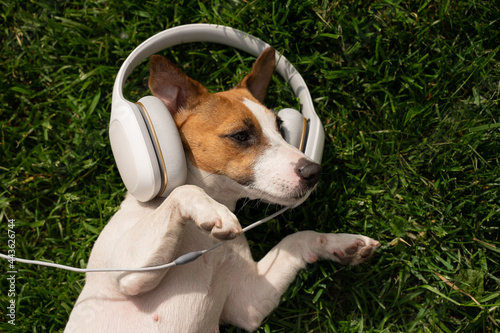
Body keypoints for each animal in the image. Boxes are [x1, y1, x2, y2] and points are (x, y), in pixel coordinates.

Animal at [65, 48, 378, 330]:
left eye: (281, 127)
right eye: (241, 135)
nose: (314, 171)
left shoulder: (248, 300)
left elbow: (296, 239)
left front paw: (341, 244)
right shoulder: (125, 273)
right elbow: (184, 192)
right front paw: (213, 212)